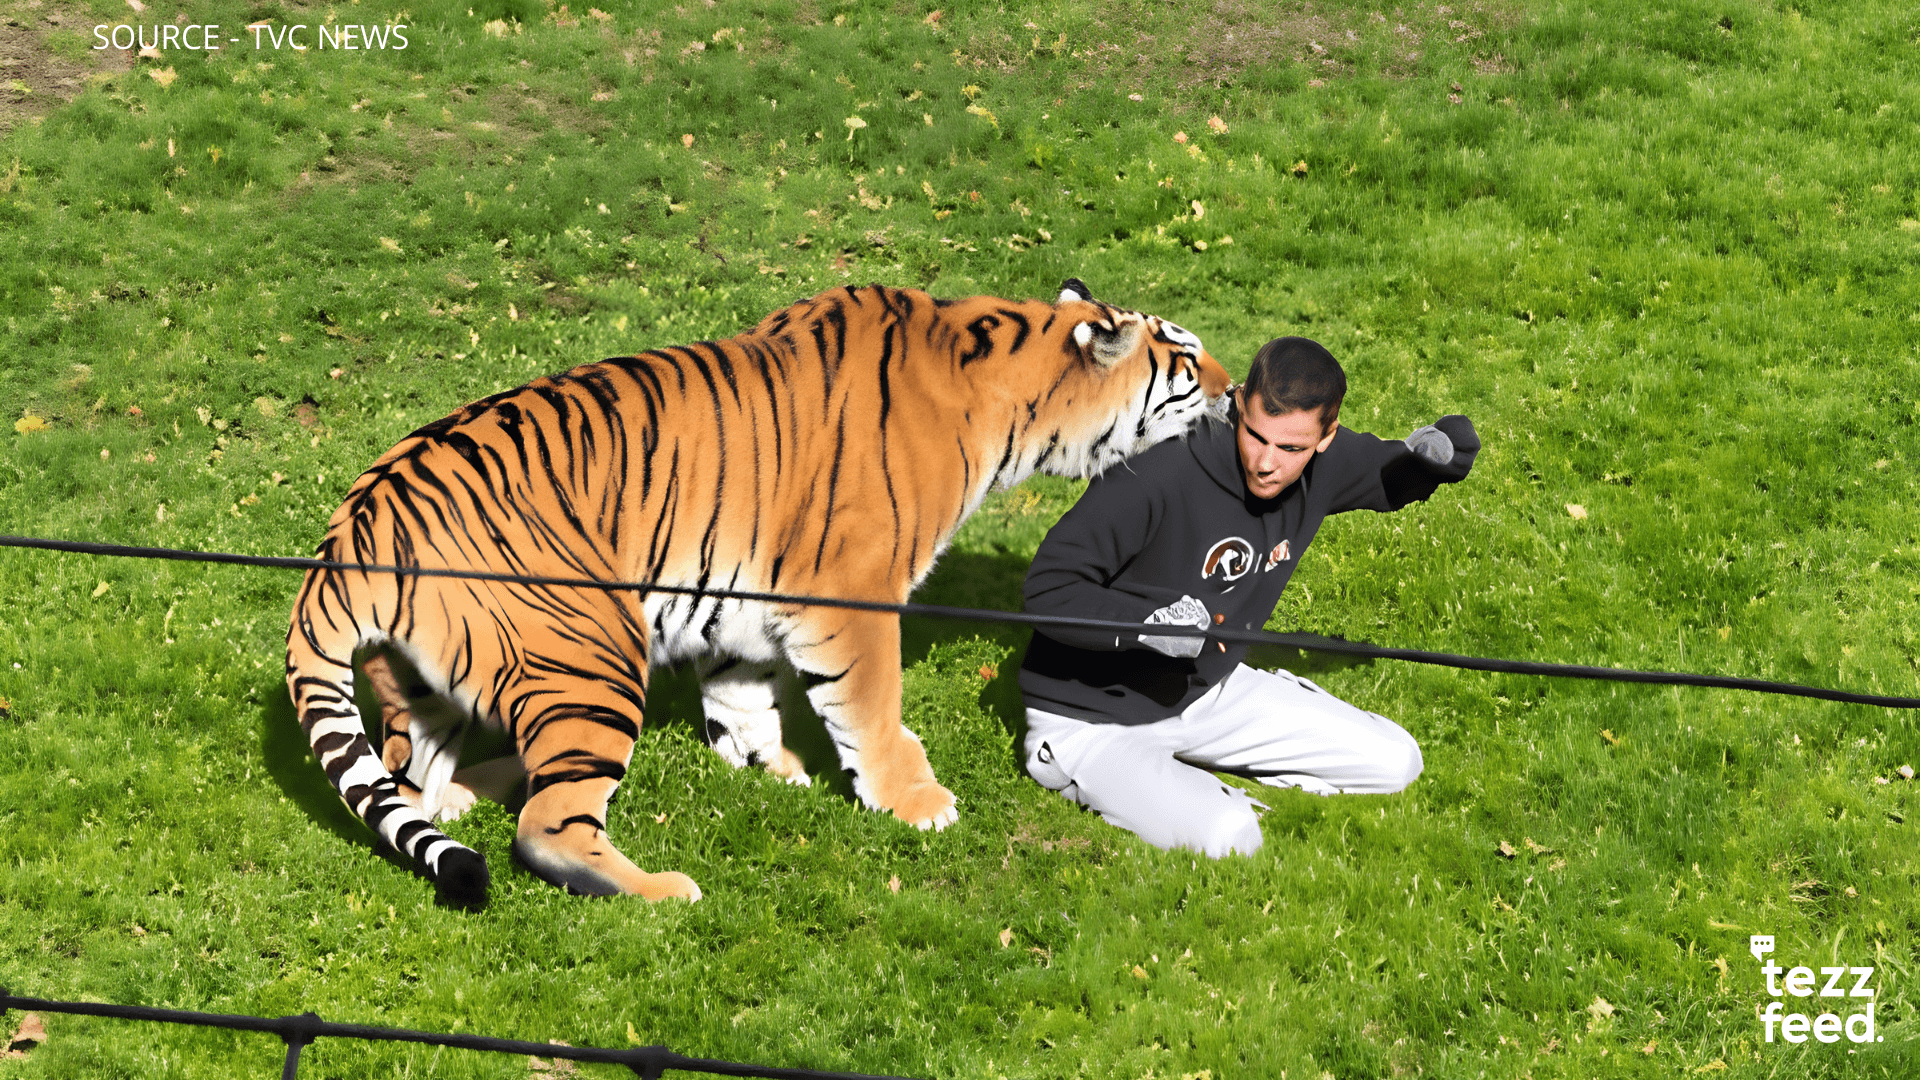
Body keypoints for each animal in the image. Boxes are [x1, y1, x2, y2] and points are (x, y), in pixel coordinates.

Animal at [285, 279, 1232, 905]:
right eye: (1185, 360)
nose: (1231, 391)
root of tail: (357, 524)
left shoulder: (742, 597)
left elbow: (744, 694)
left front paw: (767, 768)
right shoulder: (853, 589)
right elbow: (871, 705)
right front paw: (913, 802)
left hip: (432, 678)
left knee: (411, 780)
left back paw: (464, 792)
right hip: (593, 651)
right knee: (547, 828)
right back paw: (659, 889)